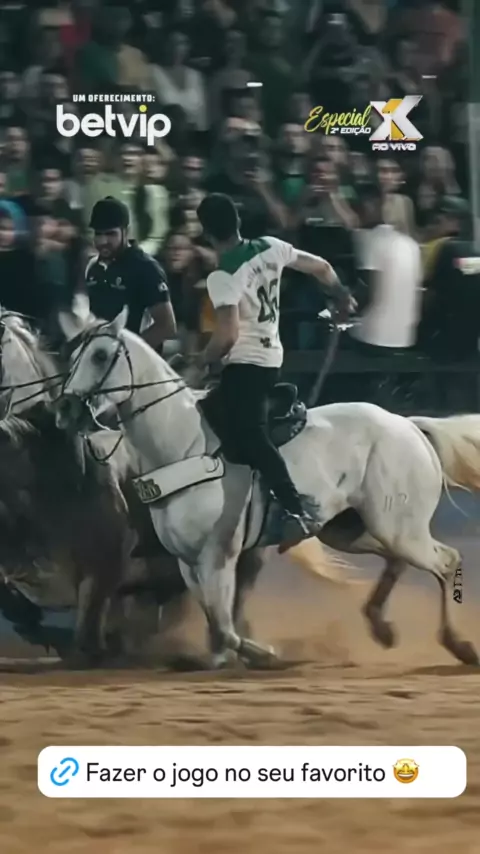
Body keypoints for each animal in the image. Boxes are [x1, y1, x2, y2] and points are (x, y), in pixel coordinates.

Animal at [56, 300, 480, 669]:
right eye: (72, 357)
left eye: (99, 355)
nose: (65, 408)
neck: (184, 444)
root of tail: (409, 425)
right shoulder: (188, 561)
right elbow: (216, 623)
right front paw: (221, 658)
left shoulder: (218, 555)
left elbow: (225, 627)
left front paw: (263, 654)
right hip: (350, 529)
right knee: (398, 561)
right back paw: (381, 625)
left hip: (398, 528)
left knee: (446, 561)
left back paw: (458, 644)